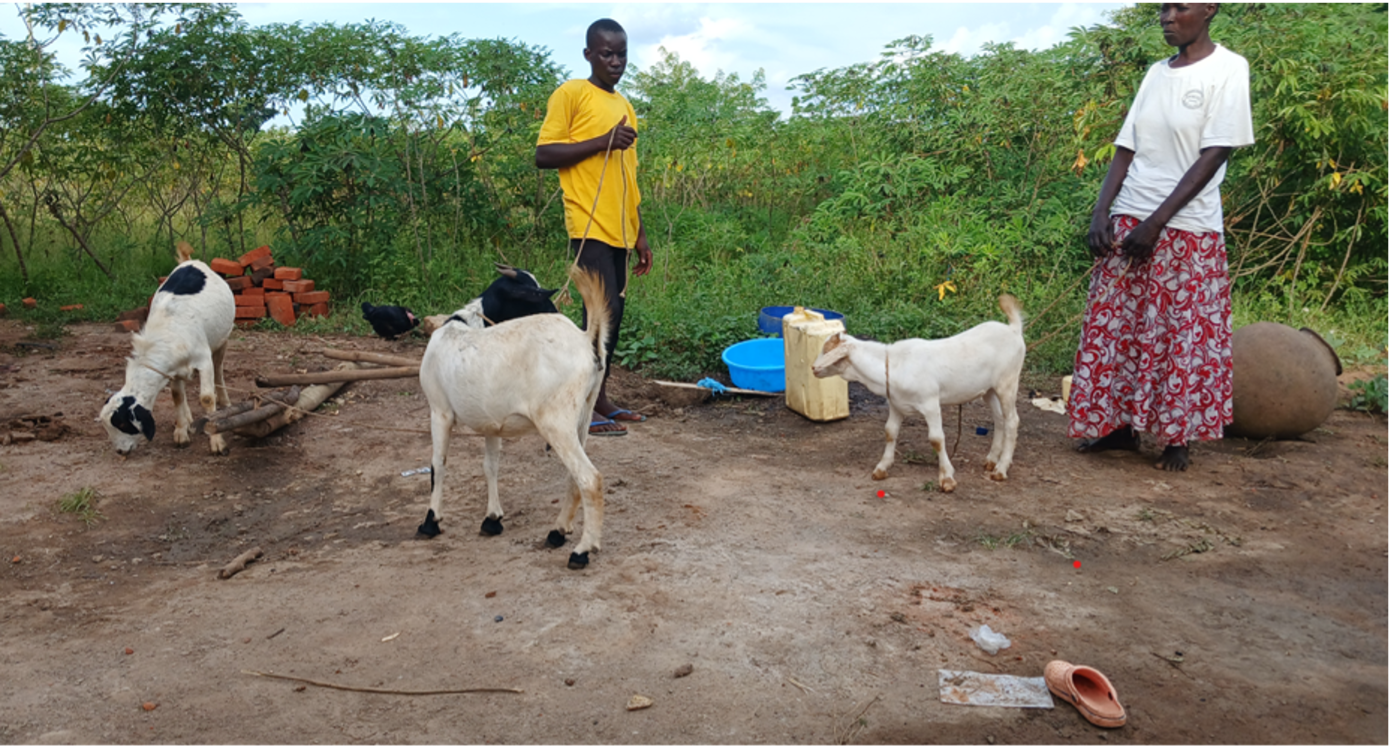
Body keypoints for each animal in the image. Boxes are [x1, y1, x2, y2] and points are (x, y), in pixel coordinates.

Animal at [101, 242, 235, 456]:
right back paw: (188, 419)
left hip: (222, 339)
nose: (120, 451)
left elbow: (206, 398)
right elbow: (177, 396)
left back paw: (224, 402)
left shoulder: (203, 360)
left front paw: (217, 441)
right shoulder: (172, 369)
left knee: (219, 369)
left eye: (122, 424)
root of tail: (190, 261)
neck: (168, 331)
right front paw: (181, 433)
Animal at [416, 266, 607, 569]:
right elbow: (490, 466)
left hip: (556, 420)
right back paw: (557, 532)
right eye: (536, 298)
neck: (463, 327)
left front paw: (430, 522)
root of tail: (587, 339)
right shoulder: (491, 422)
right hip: (583, 416)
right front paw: (492, 519)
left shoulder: (439, 410)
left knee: (589, 479)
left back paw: (581, 551)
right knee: (574, 478)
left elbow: (438, 465)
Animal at [812, 296, 1025, 492]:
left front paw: (947, 478)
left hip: (1007, 382)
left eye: (826, 350)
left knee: (1012, 420)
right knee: (999, 418)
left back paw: (1000, 469)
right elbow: (890, 432)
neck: (892, 365)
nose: (813, 368)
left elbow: (936, 439)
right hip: (989, 389)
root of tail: (1013, 330)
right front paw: (882, 468)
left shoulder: (930, 403)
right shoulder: (896, 404)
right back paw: (991, 460)